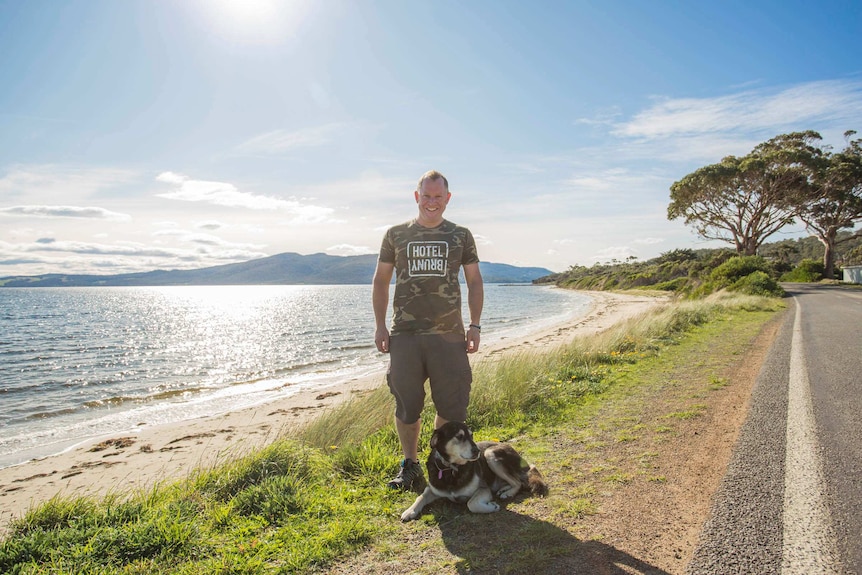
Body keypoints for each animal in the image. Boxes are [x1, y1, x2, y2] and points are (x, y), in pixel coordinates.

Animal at [402, 424, 552, 520]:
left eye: (471, 435)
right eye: (459, 436)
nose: (477, 451)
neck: (451, 469)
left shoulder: (483, 489)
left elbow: (471, 504)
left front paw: (492, 506)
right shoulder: (432, 489)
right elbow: (420, 497)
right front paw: (409, 511)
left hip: (490, 453)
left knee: (518, 482)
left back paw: (507, 493)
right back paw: (503, 489)